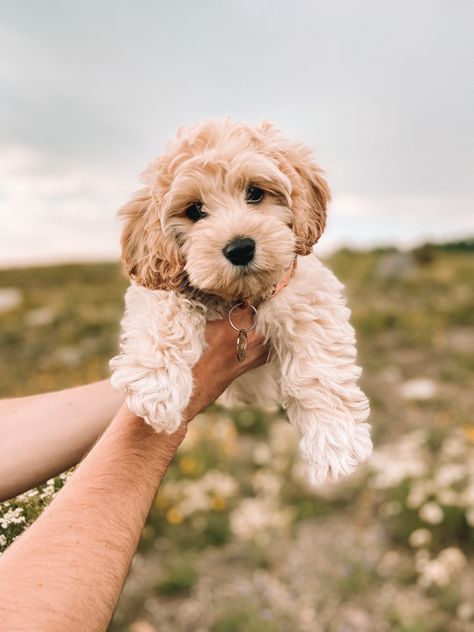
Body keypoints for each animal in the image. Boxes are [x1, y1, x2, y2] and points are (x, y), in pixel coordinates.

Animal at [109, 119, 372, 484]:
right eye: (195, 210)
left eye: (255, 193)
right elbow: (166, 309)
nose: (240, 248)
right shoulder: (156, 278)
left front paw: (335, 442)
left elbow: (319, 363)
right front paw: (156, 388)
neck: (239, 296)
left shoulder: (305, 288)